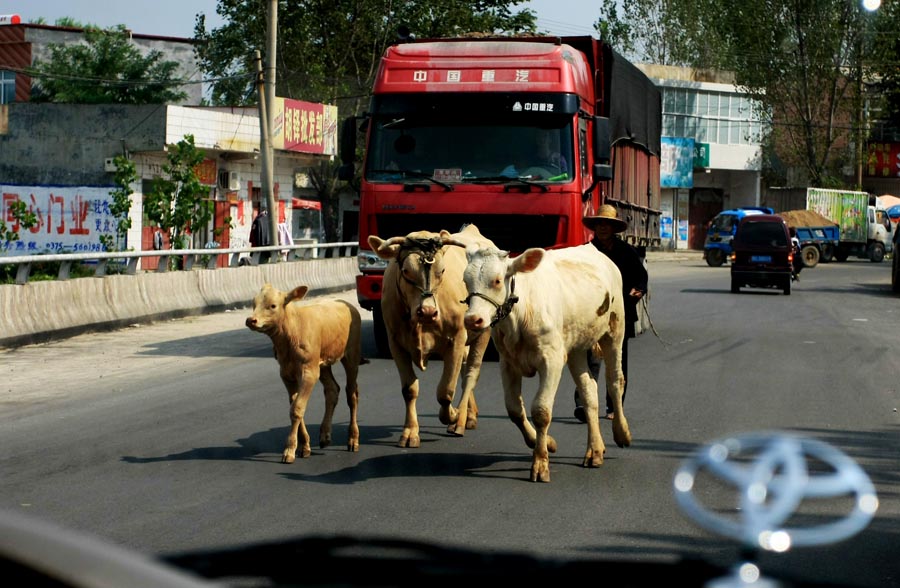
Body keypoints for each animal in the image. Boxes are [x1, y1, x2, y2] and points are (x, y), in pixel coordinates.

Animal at [244, 284, 364, 464]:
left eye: (272, 305)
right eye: (253, 304)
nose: (251, 320)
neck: (291, 333)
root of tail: (347, 305)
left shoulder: (309, 373)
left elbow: (297, 408)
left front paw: (289, 450)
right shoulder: (286, 374)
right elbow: (294, 405)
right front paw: (304, 446)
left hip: (350, 356)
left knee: (352, 394)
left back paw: (353, 439)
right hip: (322, 364)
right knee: (332, 390)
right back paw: (324, 436)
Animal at [366, 224, 492, 446]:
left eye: (442, 271)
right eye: (406, 271)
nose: (427, 312)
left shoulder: (456, 338)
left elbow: (445, 391)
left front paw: (452, 414)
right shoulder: (395, 343)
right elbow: (409, 389)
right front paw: (410, 432)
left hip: (483, 330)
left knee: (470, 374)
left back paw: (460, 420)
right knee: (464, 370)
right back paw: (469, 415)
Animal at [450, 242, 632, 482]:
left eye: (497, 280)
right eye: (465, 280)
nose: (473, 320)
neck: (520, 313)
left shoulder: (551, 360)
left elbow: (541, 411)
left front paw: (540, 463)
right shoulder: (507, 363)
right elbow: (514, 409)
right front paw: (544, 442)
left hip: (614, 330)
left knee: (615, 382)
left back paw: (621, 433)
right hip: (575, 346)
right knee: (588, 390)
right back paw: (594, 450)